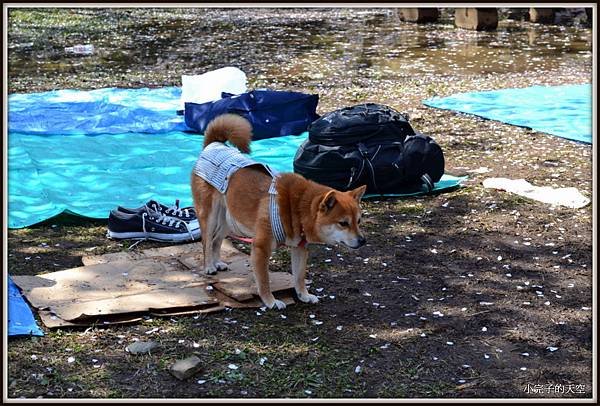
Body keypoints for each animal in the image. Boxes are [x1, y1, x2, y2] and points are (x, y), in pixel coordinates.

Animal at [192, 112, 366, 310]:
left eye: (358, 221)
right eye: (343, 223)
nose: (363, 241)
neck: (297, 207)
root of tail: (214, 144)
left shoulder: (300, 248)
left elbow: (299, 277)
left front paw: (304, 295)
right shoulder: (260, 248)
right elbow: (264, 281)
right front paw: (271, 301)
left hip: (230, 221)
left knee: (216, 241)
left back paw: (217, 263)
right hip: (210, 216)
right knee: (206, 241)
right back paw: (209, 266)